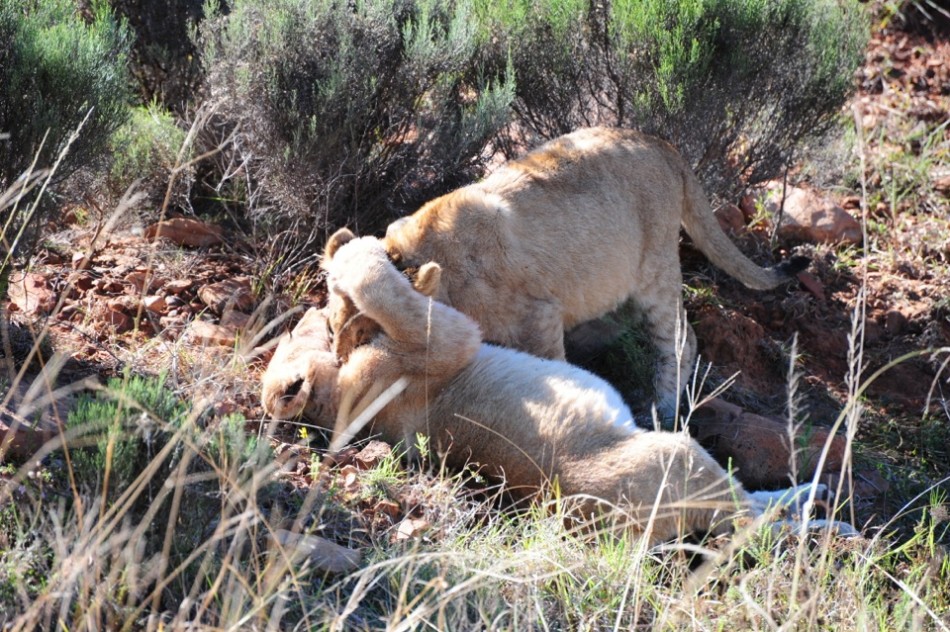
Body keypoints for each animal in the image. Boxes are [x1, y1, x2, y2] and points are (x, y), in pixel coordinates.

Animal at [261, 236, 848, 545]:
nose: (314, 315)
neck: (342, 400)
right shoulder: (440, 340)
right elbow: (381, 287)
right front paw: (358, 254)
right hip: (676, 451)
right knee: (755, 519)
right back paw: (827, 518)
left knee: (755, 508)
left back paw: (814, 498)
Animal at [326, 127, 806, 414]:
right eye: (331, 328)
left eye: (366, 336)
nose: (338, 363)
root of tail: (661, 143)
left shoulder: (538, 314)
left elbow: (552, 365)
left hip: (656, 269)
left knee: (681, 342)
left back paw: (664, 407)